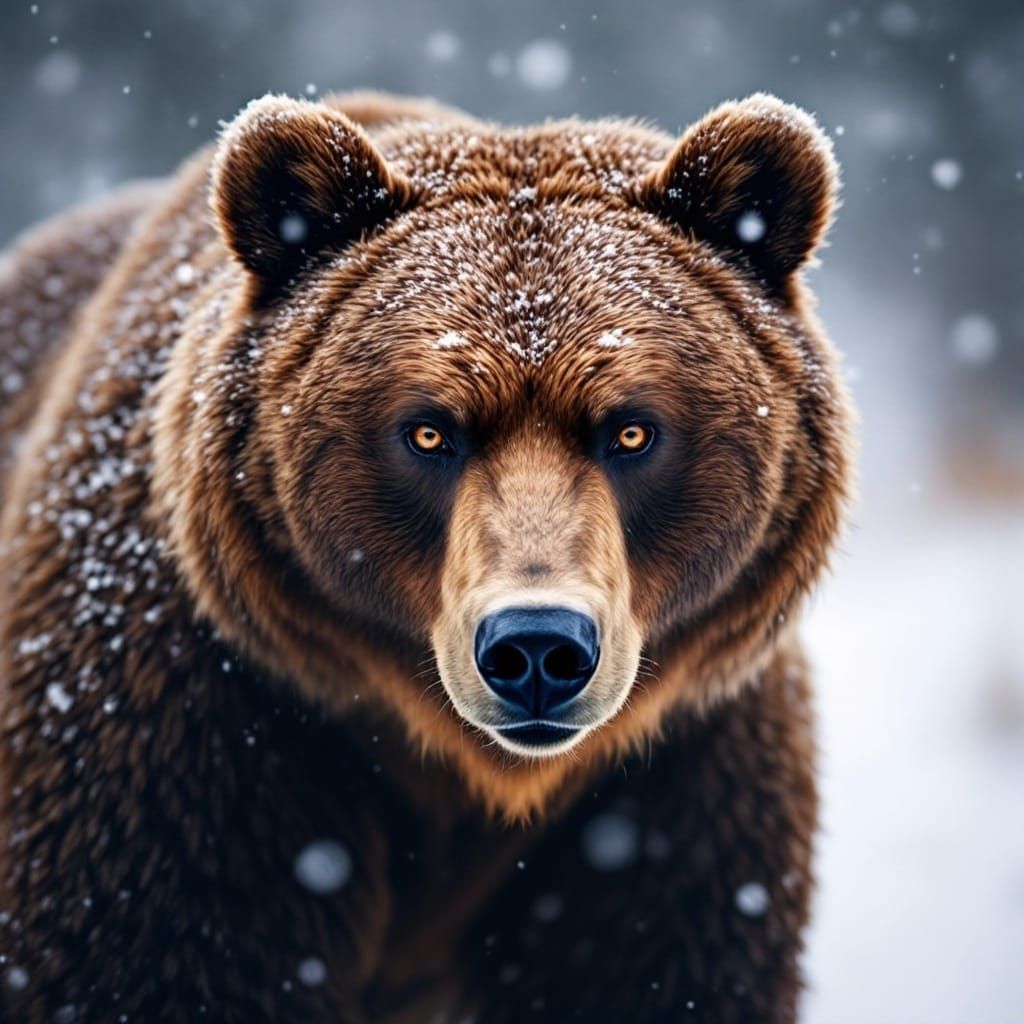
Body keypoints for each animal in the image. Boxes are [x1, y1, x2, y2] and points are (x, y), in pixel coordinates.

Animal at [0, 90, 853, 1023]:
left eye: (632, 430)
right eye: (428, 430)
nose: (538, 649)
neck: (470, 781)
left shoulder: (673, 793)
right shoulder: (191, 740)